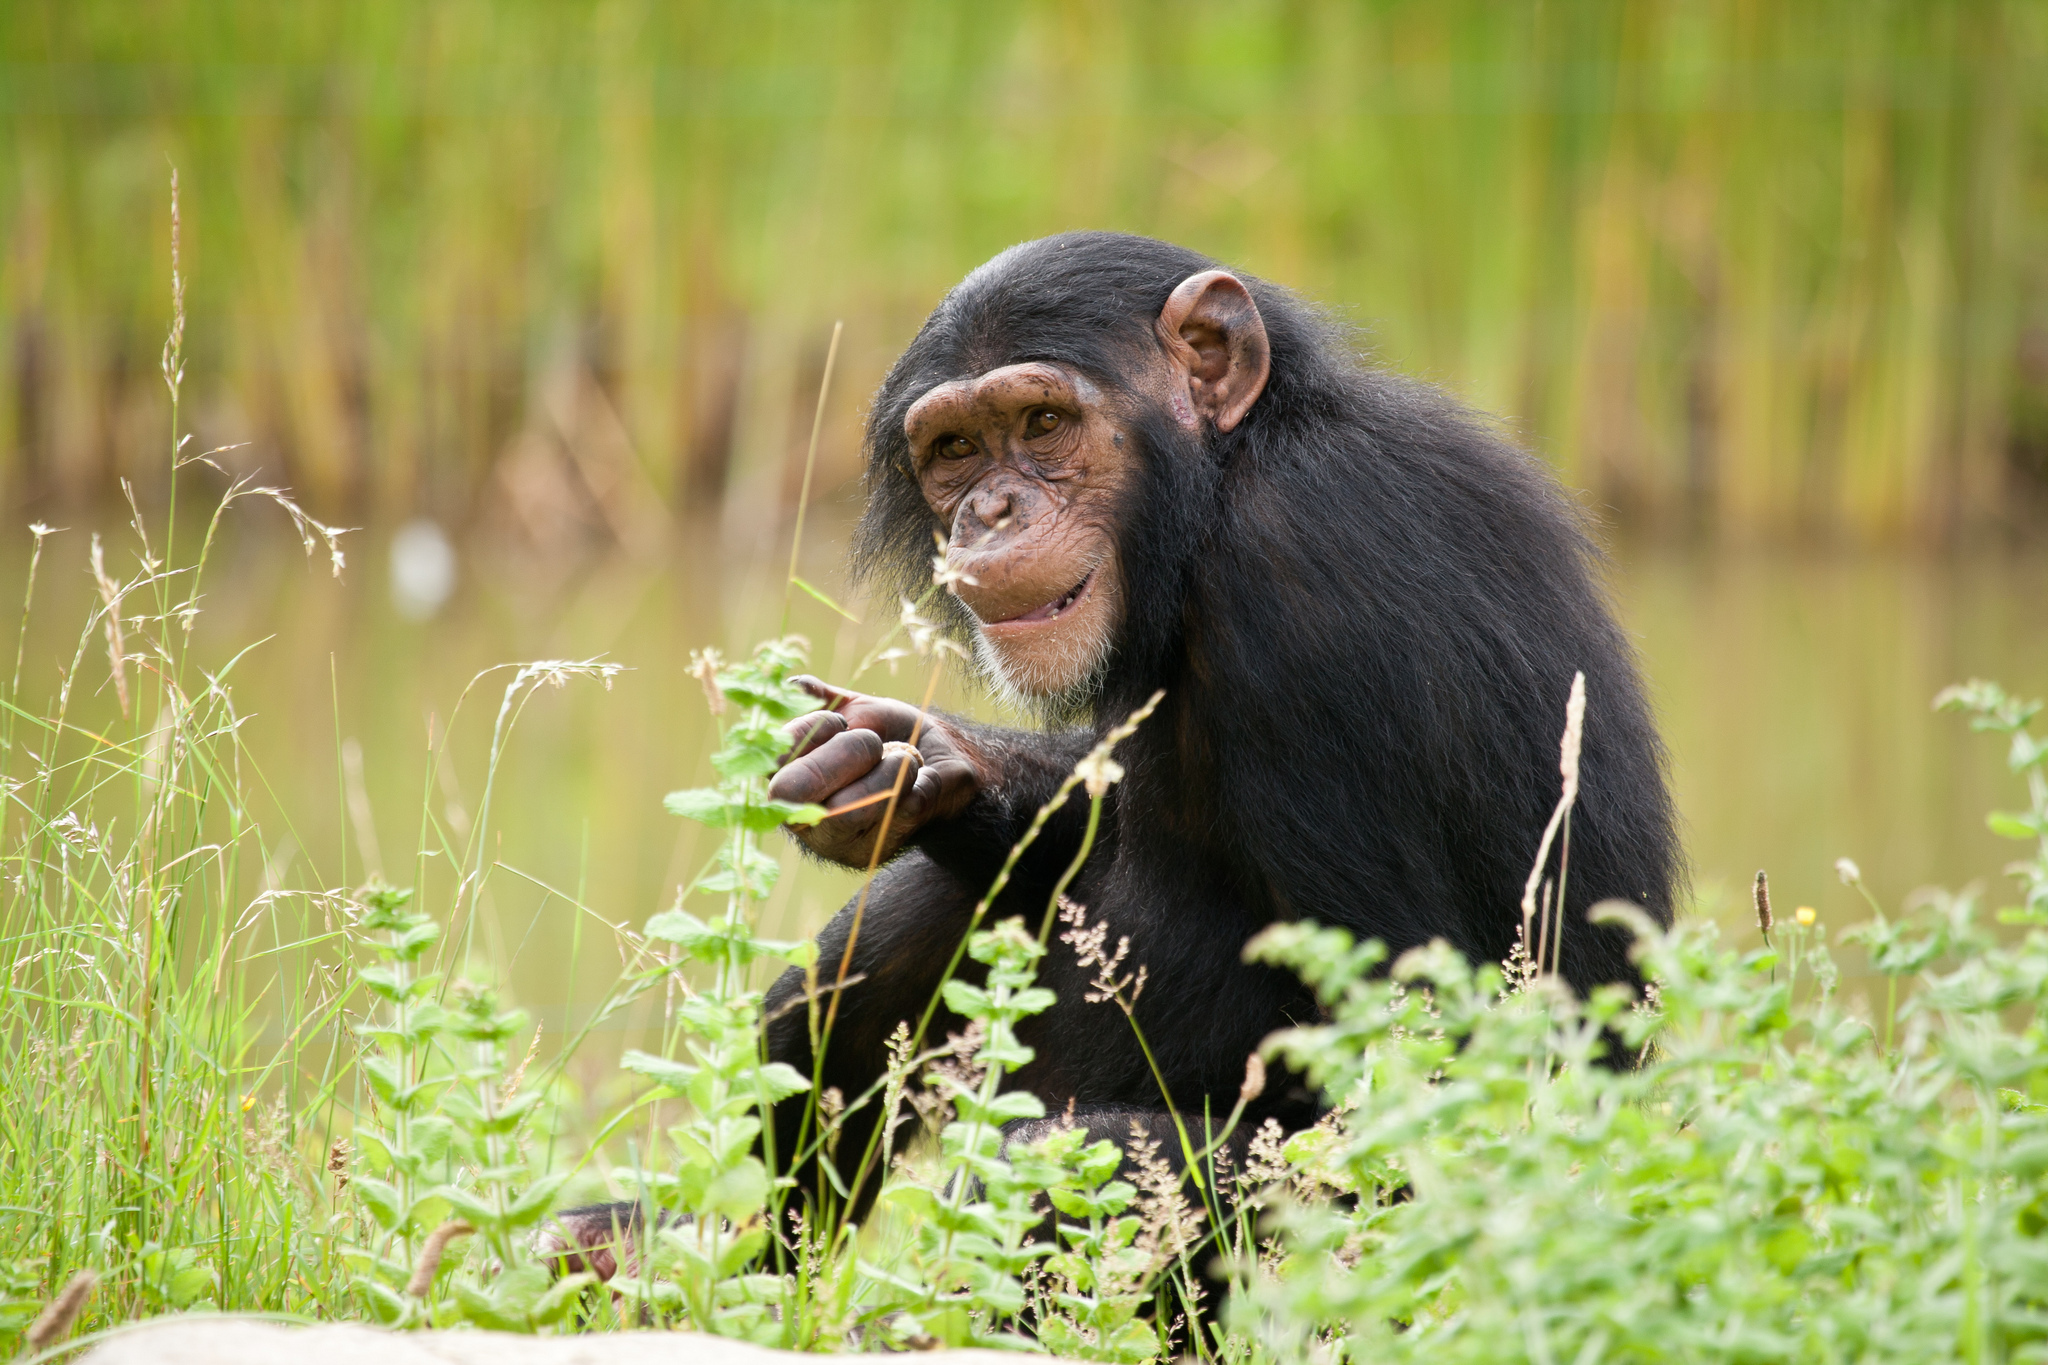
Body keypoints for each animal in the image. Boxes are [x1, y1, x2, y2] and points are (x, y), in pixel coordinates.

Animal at [548, 232, 1679, 1268]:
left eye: (1043, 424)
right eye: (954, 449)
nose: (990, 509)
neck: (1220, 486)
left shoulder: (1306, 582)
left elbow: (1418, 1064)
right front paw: (899, 768)